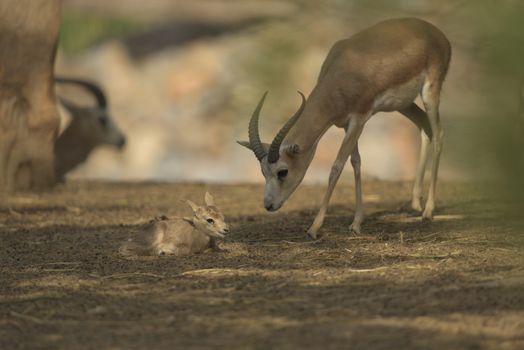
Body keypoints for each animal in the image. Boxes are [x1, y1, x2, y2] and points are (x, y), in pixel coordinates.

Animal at [238, 17, 450, 239]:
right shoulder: (345, 125)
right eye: (263, 171)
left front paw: (314, 228)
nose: (268, 205)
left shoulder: (359, 120)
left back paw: (428, 211)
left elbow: (337, 166)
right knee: (424, 126)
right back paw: (416, 203)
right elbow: (355, 162)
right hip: (404, 105)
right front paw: (356, 222)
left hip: (429, 93)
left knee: (439, 133)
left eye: (283, 171)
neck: (343, 74)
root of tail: (436, 33)